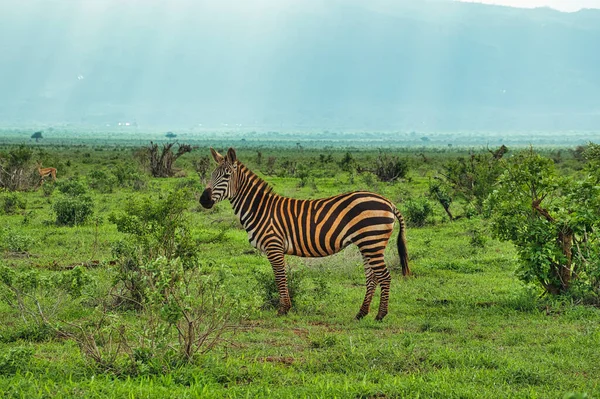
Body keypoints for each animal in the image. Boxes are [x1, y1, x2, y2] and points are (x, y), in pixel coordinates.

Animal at [199, 148, 410, 320]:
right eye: (211, 174)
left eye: (226, 175)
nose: (203, 200)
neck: (259, 209)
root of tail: (388, 202)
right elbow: (280, 277)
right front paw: (285, 307)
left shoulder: (274, 246)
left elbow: (280, 277)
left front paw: (283, 309)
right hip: (367, 243)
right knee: (372, 277)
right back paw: (361, 313)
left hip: (372, 242)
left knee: (384, 276)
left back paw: (380, 315)